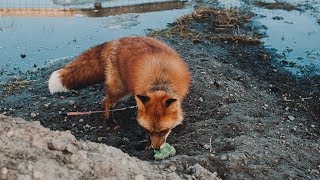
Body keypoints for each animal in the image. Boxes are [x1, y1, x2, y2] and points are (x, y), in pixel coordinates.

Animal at [48, 36, 191, 149]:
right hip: (120, 89)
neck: (159, 82)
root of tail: (118, 40)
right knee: (106, 102)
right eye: (148, 130)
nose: (156, 148)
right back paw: (109, 122)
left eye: (163, 131)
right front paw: (147, 143)